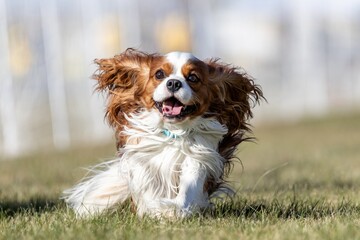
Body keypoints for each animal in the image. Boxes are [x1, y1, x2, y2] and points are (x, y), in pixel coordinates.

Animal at [63, 48, 262, 218]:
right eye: (159, 74)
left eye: (193, 77)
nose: (173, 83)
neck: (174, 131)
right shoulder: (143, 157)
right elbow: (148, 185)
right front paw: (155, 209)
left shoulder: (199, 157)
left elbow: (190, 186)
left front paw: (174, 210)